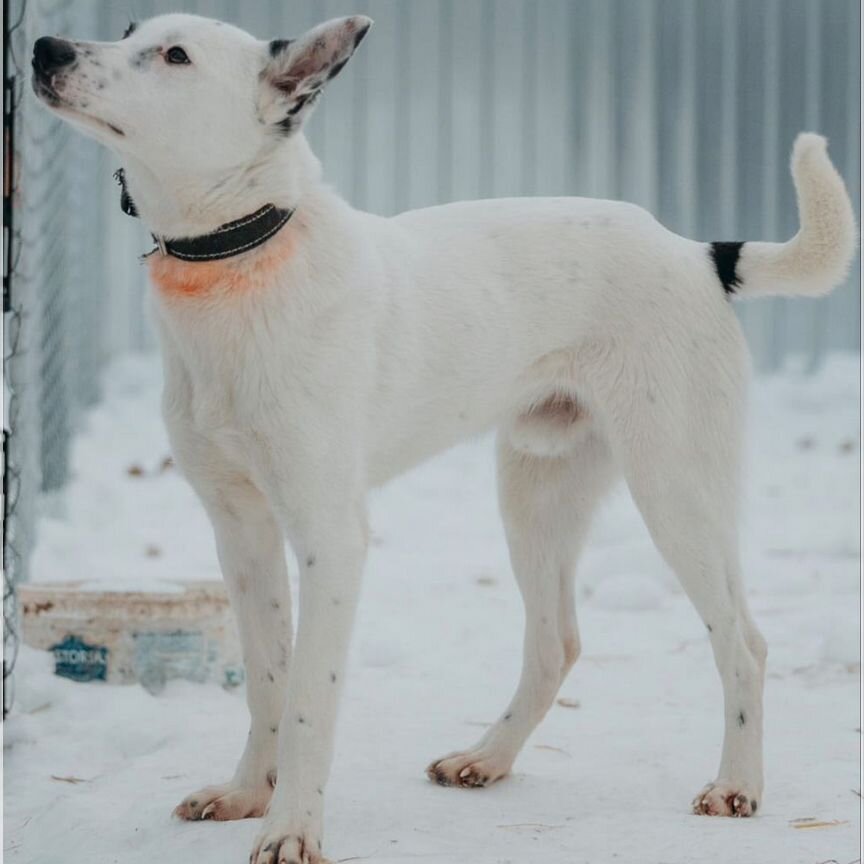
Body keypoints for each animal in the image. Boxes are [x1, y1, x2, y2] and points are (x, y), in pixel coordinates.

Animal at [32, 13, 856, 864]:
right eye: (129, 28)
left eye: (175, 56)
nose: (44, 50)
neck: (244, 259)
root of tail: (694, 251)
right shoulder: (241, 533)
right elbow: (267, 681)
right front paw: (246, 794)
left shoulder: (331, 538)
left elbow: (307, 702)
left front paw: (291, 827)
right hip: (535, 495)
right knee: (556, 642)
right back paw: (488, 757)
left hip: (675, 490)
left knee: (745, 643)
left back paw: (737, 784)